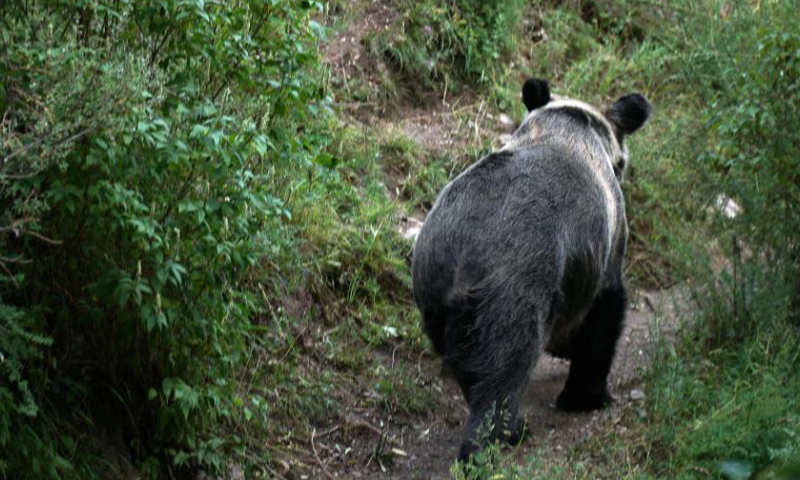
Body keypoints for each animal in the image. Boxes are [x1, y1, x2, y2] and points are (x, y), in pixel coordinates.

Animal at [411, 78, 652, 461]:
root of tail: (465, 257)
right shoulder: (599, 247)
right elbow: (603, 313)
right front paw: (587, 395)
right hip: (514, 279)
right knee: (508, 358)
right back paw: (501, 433)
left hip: (432, 286)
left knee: (466, 359)